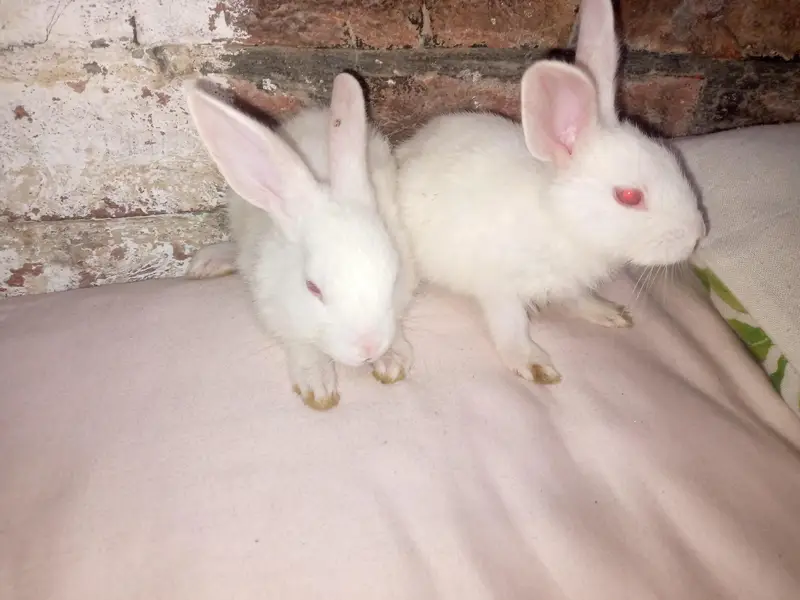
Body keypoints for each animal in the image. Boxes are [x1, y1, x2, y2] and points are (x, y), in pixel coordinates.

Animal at [184, 73, 415, 410]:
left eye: (394, 276)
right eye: (312, 288)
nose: (368, 348)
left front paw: (393, 359)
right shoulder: (276, 311)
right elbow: (302, 347)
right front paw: (317, 386)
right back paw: (208, 262)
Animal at [394, 0, 705, 385]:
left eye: (672, 160)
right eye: (629, 197)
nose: (697, 237)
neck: (561, 221)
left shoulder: (570, 282)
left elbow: (578, 298)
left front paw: (609, 312)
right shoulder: (500, 287)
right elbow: (510, 326)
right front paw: (534, 365)